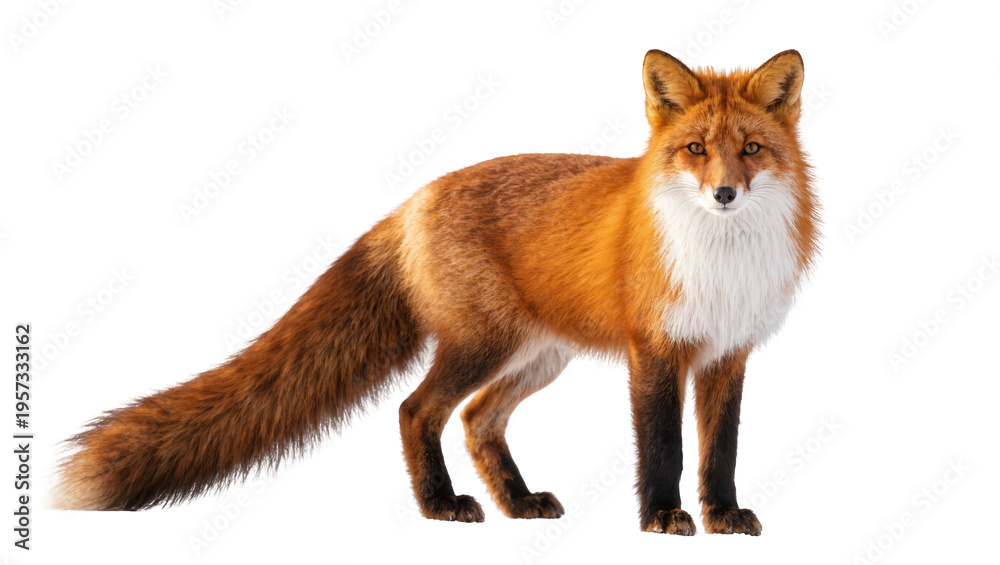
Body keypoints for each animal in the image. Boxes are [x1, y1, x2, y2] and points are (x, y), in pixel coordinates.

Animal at [56, 49, 818, 536]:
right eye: (696, 149)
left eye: (751, 149)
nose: (724, 193)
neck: (721, 256)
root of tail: (415, 199)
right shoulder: (654, 349)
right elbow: (663, 446)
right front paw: (661, 517)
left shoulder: (727, 354)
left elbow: (720, 451)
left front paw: (721, 516)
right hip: (486, 344)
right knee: (416, 410)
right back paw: (440, 506)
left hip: (537, 356)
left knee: (478, 420)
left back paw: (517, 503)